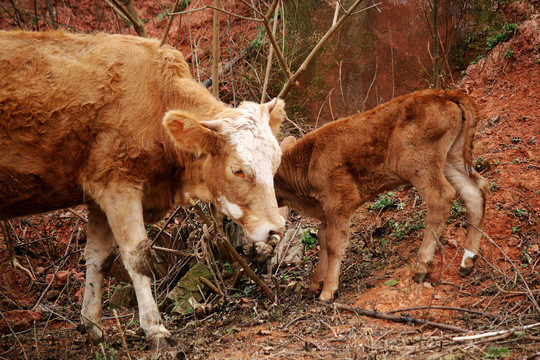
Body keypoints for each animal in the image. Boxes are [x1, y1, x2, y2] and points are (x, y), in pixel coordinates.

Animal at [0, 31, 286, 346]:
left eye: (276, 161)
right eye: (237, 169)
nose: (275, 229)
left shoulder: (98, 192)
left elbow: (98, 257)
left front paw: (92, 325)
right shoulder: (118, 184)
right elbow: (137, 257)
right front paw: (154, 327)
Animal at [276, 89, 488, 300]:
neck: (308, 159)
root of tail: (445, 93)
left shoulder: (339, 205)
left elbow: (334, 244)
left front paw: (327, 291)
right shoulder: (325, 213)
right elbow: (322, 239)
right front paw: (315, 284)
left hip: (419, 165)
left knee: (441, 198)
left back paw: (421, 268)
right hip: (451, 159)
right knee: (474, 192)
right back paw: (467, 261)